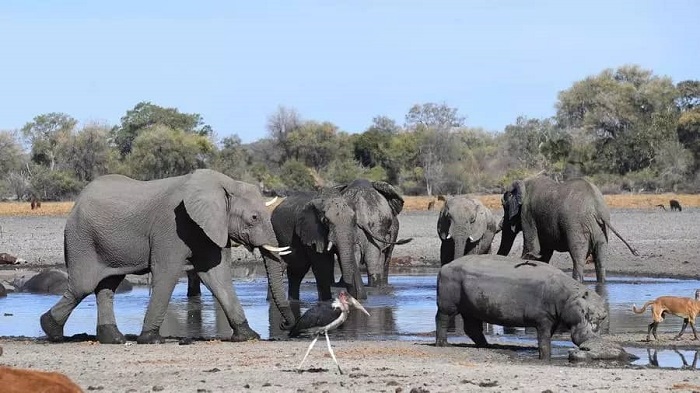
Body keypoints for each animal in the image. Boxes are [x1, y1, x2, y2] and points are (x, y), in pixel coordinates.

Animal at [41, 168, 294, 344]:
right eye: (253, 218)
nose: (285, 324)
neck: (223, 183)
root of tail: (77, 202)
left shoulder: (209, 228)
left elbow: (217, 276)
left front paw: (248, 335)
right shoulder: (172, 226)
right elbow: (167, 273)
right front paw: (151, 339)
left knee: (107, 287)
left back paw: (113, 339)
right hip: (81, 238)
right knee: (82, 286)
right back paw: (50, 330)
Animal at [438, 253, 628, 360]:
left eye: (603, 317)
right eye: (586, 313)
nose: (593, 339)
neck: (569, 296)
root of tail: (445, 265)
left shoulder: (553, 319)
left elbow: (547, 338)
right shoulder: (543, 319)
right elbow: (544, 340)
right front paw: (545, 357)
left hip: (471, 308)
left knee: (472, 327)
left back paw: (487, 346)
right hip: (448, 304)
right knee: (442, 320)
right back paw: (443, 344)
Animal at [494, 175, 636, 282]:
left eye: (503, 205)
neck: (524, 182)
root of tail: (597, 208)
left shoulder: (527, 214)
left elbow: (532, 248)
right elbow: (544, 253)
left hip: (576, 226)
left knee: (578, 257)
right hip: (601, 230)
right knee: (600, 260)